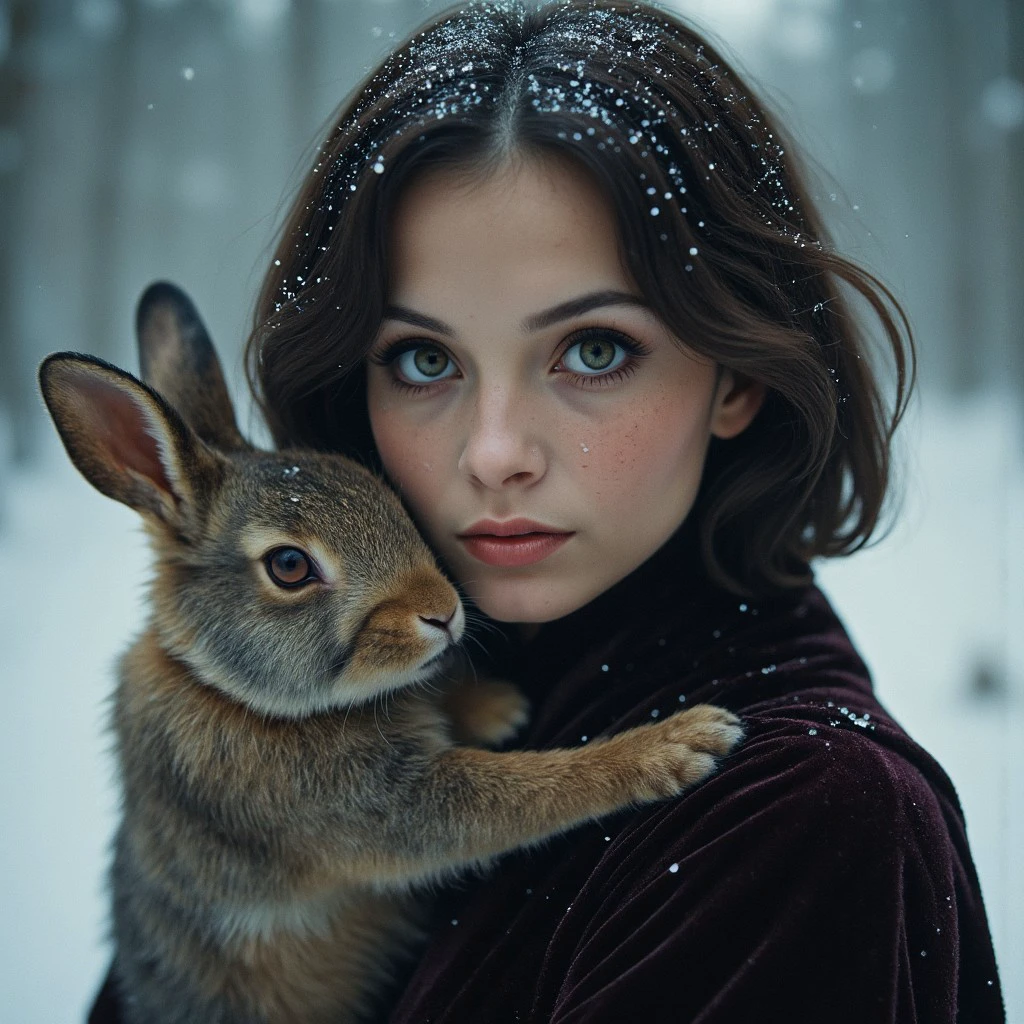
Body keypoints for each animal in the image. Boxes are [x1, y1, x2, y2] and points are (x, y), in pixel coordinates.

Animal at [39, 282, 745, 1024]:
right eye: (288, 566)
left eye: (375, 489)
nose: (444, 612)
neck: (221, 686)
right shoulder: (365, 807)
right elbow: (519, 796)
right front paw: (678, 745)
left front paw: (496, 707)